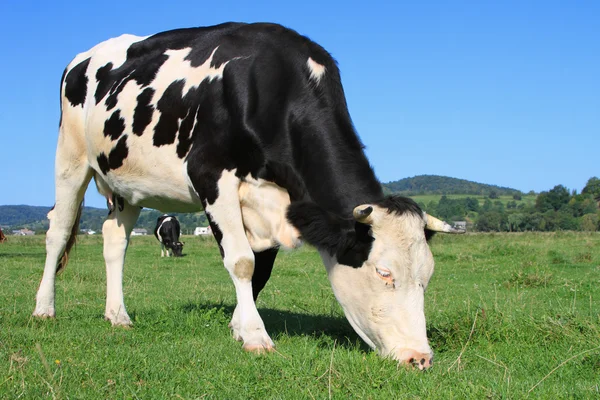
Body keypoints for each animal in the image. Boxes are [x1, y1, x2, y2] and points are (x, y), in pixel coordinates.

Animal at [34, 22, 464, 368]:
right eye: (383, 273)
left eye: (427, 276)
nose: (419, 357)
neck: (274, 87)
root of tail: (84, 56)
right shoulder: (211, 175)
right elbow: (241, 262)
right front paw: (256, 337)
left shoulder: (276, 204)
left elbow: (261, 270)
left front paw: (240, 326)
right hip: (70, 159)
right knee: (58, 232)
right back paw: (43, 309)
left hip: (126, 186)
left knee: (114, 241)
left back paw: (118, 316)